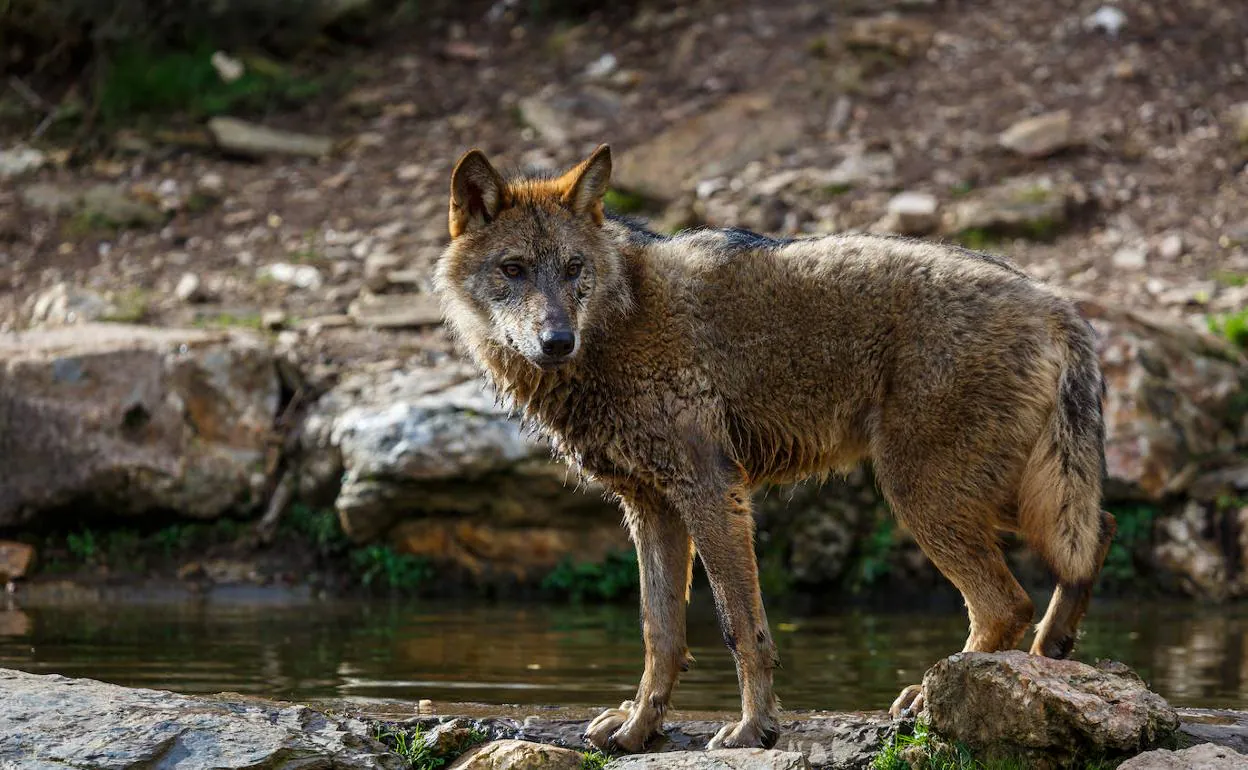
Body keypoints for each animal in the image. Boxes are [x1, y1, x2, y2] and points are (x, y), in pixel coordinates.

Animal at [434, 144, 1118, 748]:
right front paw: (637, 728)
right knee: (1096, 534)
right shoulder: (652, 509)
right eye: (514, 269)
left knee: (1008, 601)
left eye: (574, 269)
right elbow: (661, 633)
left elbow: (741, 627)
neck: (620, 321)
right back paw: (1049, 657)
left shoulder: (713, 493)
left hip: (922, 496)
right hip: (998, 494)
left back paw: (932, 695)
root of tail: (1055, 302)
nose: (557, 340)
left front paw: (752, 730)